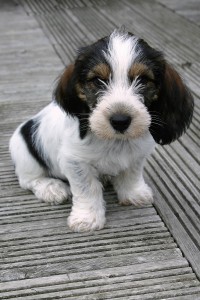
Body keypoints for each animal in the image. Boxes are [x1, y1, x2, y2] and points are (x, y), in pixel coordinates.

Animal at [9, 30, 194, 232]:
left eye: (143, 79)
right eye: (98, 80)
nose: (120, 121)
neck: (114, 140)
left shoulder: (137, 155)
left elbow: (131, 173)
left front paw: (133, 194)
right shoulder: (75, 161)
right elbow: (87, 189)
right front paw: (87, 218)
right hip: (24, 153)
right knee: (28, 179)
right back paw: (51, 187)